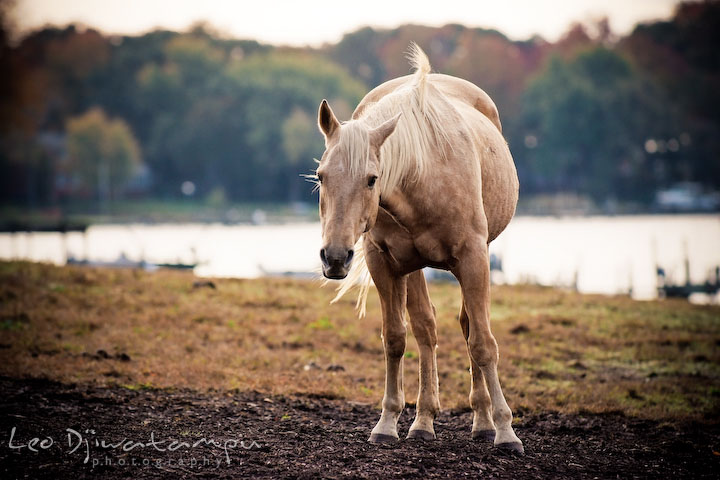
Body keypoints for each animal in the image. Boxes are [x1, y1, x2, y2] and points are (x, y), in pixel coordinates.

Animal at [316, 43, 524, 452]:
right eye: (320, 176)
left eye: (371, 179)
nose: (335, 257)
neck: (422, 174)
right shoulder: (384, 263)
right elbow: (396, 338)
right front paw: (387, 423)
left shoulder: (474, 259)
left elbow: (483, 342)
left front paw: (506, 431)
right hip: (412, 267)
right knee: (426, 329)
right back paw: (424, 421)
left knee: (467, 328)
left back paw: (483, 422)